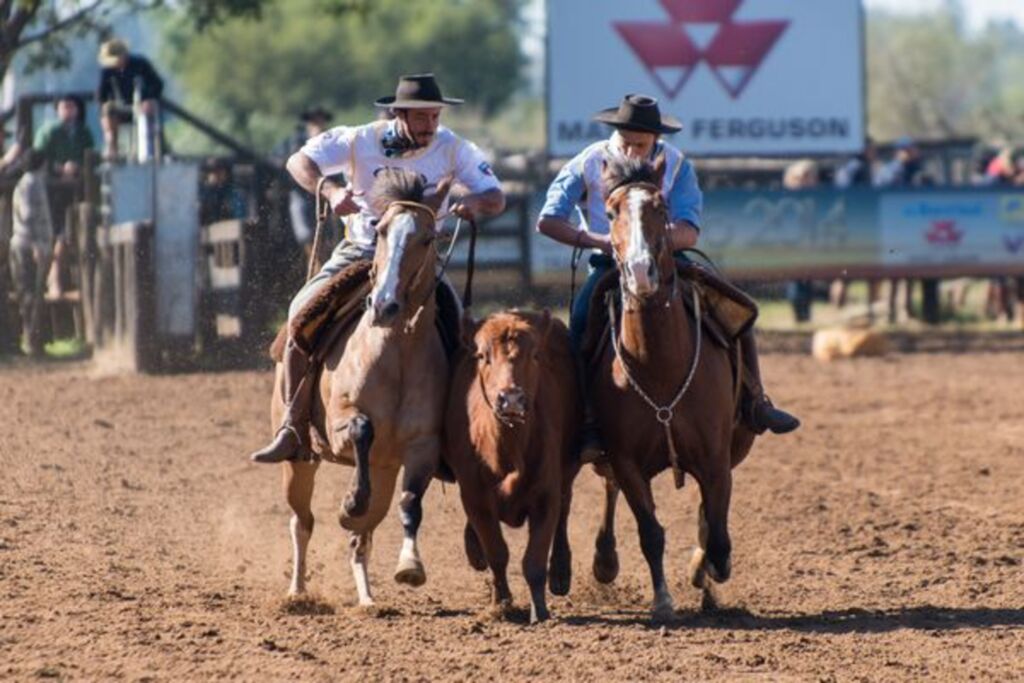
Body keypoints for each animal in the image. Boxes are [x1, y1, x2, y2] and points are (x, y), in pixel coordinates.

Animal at [280, 167, 456, 606]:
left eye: (428, 237)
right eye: (380, 230)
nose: (384, 305)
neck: (395, 354)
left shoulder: (422, 446)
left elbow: (411, 504)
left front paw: (410, 566)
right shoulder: (340, 426)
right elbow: (361, 429)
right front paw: (348, 503)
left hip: (386, 470)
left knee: (361, 541)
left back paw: (367, 599)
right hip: (299, 459)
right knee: (301, 521)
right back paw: (297, 591)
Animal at [444, 313, 581, 622]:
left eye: (535, 355)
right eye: (482, 356)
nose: (511, 399)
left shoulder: (546, 496)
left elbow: (534, 558)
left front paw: (539, 610)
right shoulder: (475, 496)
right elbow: (496, 552)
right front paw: (502, 603)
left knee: (565, 508)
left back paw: (560, 572)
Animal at [589, 154, 757, 618]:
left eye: (661, 207)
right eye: (611, 212)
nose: (641, 272)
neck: (660, 368)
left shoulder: (716, 457)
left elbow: (716, 534)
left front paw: (705, 570)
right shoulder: (626, 461)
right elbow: (651, 532)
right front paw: (662, 601)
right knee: (608, 489)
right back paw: (604, 560)